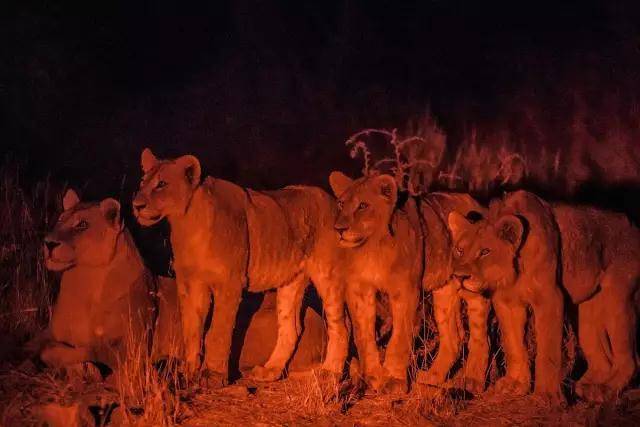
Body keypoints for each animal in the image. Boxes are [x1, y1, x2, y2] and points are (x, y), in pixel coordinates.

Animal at [132, 149, 348, 386]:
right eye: (142, 182)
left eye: (162, 184)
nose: (136, 204)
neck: (186, 222)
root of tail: (335, 204)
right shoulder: (191, 283)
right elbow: (191, 328)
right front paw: (188, 373)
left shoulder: (230, 282)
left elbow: (217, 331)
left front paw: (213, 376)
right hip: (291, 282)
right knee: (291, 328)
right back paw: (269, 371)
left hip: (329, 275)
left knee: (340, 326)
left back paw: (330, 373)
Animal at [450, 191, 640, 402]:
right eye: (459, 250)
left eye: (485, 252)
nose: (459, 277)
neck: (514, 270)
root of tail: (633, 226)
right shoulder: (507, 302)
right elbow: (513, 344)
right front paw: (515, 384)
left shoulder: (550, 297)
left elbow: (548, 349)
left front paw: (547, 395)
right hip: (586, 309)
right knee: (602, 355)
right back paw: (589, 387)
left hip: (617, 298)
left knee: (631, 359)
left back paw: (605, 389)